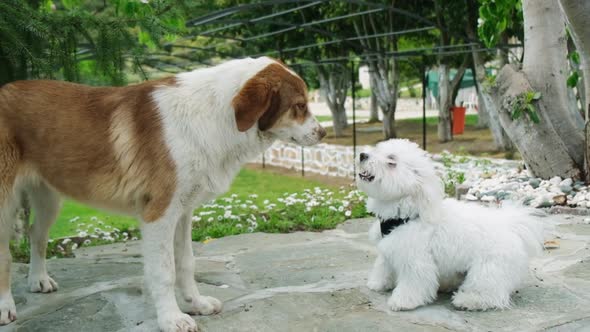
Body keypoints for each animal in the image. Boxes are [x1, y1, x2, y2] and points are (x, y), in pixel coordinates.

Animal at [0, 57, 324, 332]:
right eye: (299, 106)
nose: (323, 134)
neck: (217, 117)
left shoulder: (183, 212)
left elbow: (186, 263)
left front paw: (195, 304)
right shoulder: (159, 214)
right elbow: (164, 271)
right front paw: (171, 318)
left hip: (48, 199)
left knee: (36, 235)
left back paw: (38, 280)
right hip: (5, 204)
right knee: (5, 254)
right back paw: (6, 308)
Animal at [356, 139, 544, 312]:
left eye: (391, 161)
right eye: (378, 150)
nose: (362, 155)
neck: (407, 213)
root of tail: (509, 225)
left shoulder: (415, 260)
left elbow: (413, 281)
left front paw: (402, 301)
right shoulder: (387, 249)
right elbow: (383, 265)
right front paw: (378, 283)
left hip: (488, 268)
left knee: (490, 293)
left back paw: (469, 300)